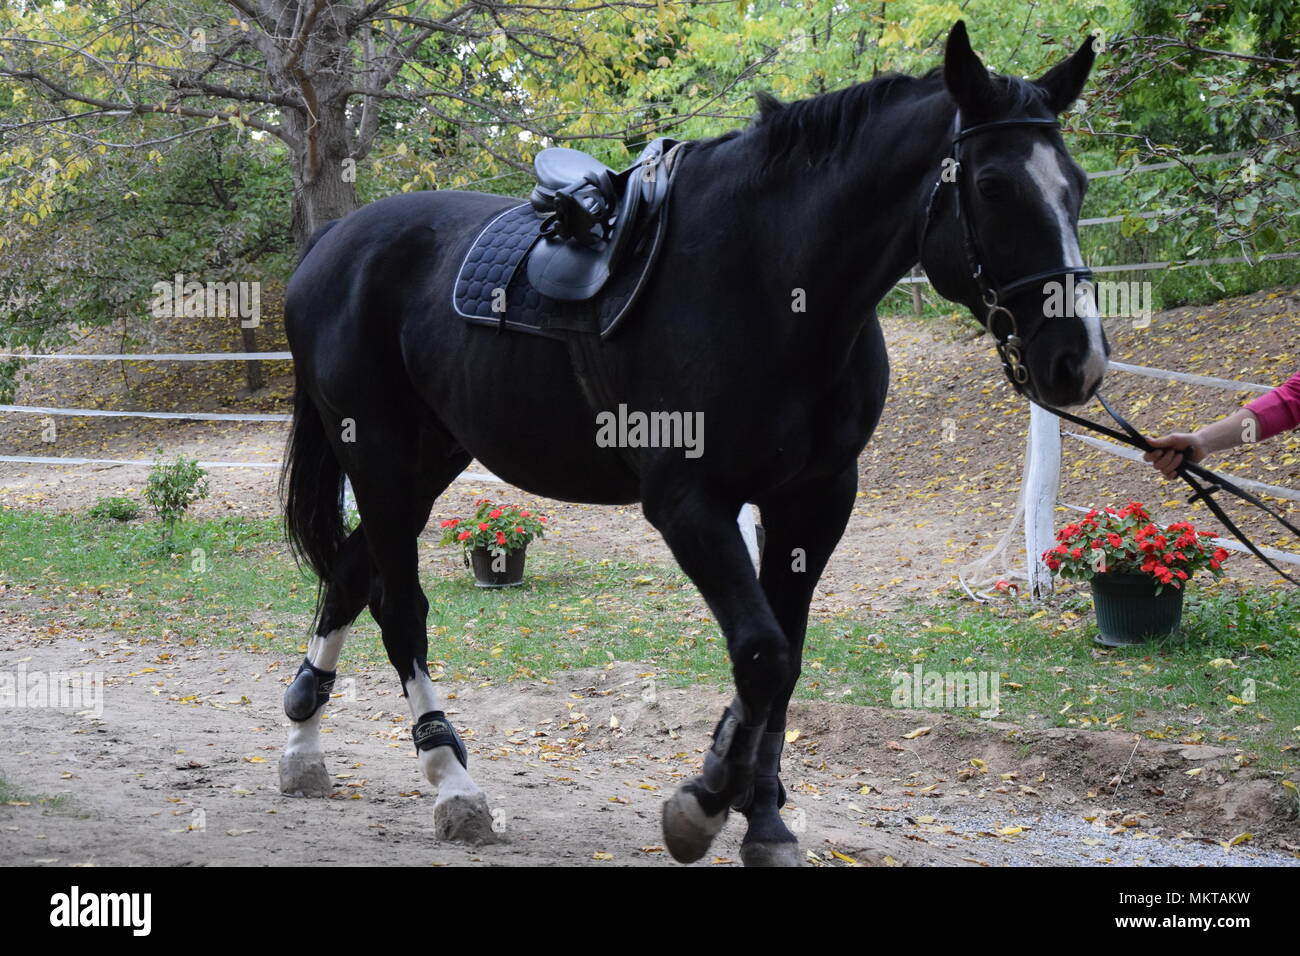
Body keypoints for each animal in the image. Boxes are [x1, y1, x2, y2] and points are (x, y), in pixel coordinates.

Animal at [276, 20, 1107, 866]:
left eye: (1076, 185)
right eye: (994, 185)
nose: (1077, 360)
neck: (769, 278)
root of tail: (334, 244)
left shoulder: (816, 500)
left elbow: (785, 659)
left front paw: (762, 814)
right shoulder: (690, 504)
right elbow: (763, 653)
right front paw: (704, 801)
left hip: (428, 459)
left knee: (349, 575)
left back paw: (305, 744)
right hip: (378, 454)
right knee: (399, 607)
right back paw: (451, 781)